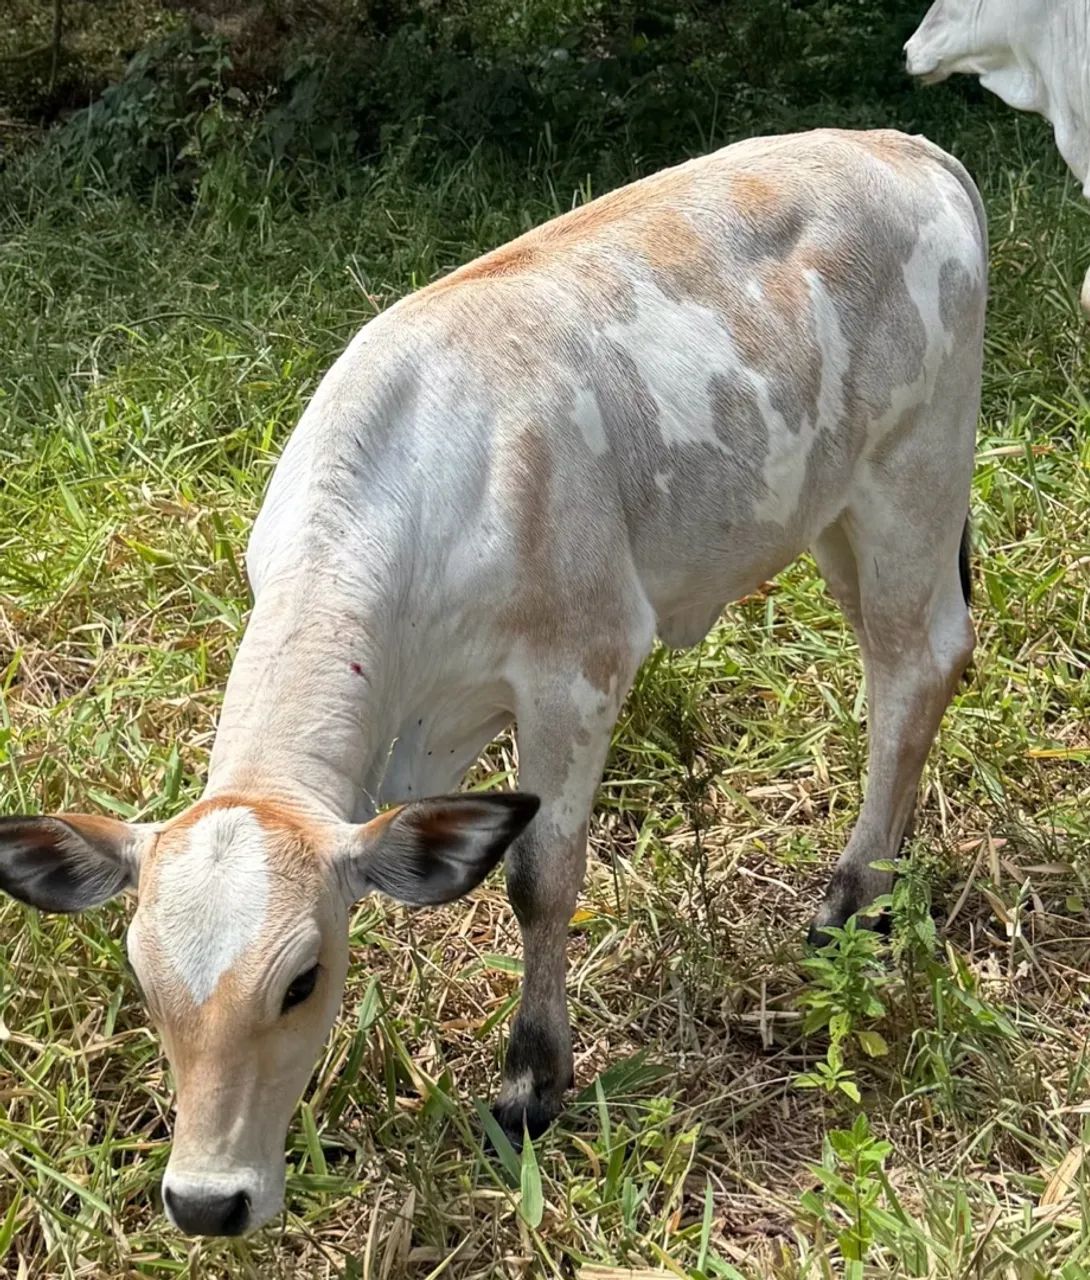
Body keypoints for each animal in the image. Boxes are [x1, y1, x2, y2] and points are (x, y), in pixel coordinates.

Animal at [0, 128, 987, 1237]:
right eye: (142, 978)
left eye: (302, 980)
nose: (207, 1200)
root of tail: (900, 144)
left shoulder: (580, 670)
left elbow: (539, 877)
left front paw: (531, 1083)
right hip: (834, 516)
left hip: (915, 477)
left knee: (914, 666)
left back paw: (855, 896)